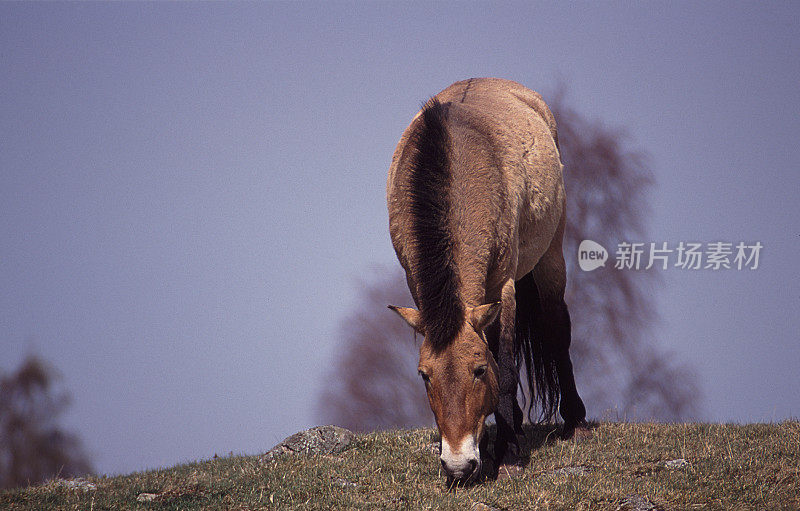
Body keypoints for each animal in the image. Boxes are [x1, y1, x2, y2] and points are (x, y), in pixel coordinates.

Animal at [388, 79, 588, 484]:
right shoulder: (420, 290)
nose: (458, 464)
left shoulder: (503, 291)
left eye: (478, 371)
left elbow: (506, 369)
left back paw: (574, 422)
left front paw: (508, 456)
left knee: (556, 327)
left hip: (550, 257)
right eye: (424, 375)